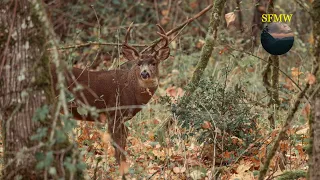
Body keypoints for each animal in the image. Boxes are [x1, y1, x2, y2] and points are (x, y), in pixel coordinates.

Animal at [50, 25, 170, 165]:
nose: (144, 73)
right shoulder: (113, 111)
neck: (130, 90)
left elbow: (123, 138)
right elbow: (117, 141)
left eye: (154, 63)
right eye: (138, 63)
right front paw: (120, 165)